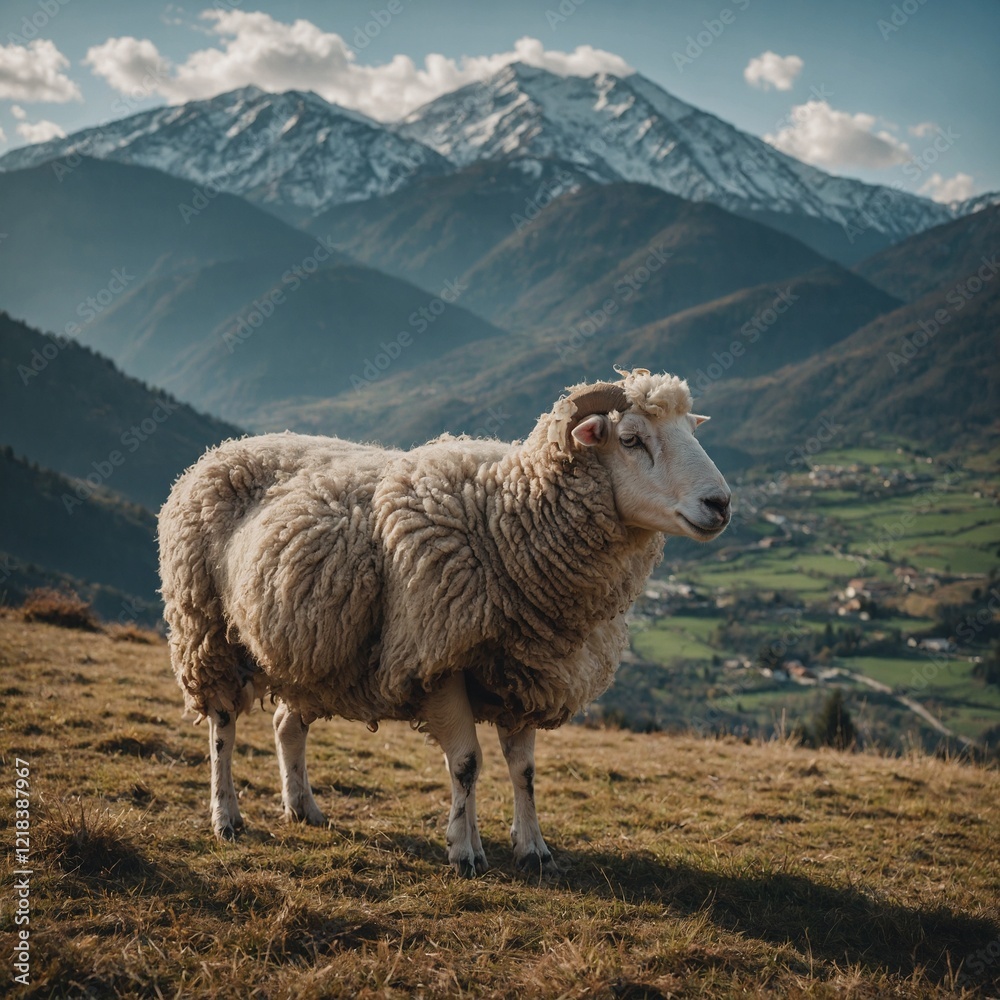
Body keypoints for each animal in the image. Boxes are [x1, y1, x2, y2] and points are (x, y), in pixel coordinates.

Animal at [158, 369, 731, 876]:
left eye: (691, 430)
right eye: (631, 439)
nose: (721, 503)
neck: (505, 518)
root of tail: (222, 450)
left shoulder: (525, 669)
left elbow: (523, 770)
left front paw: (534, 850)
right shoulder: (436, 660)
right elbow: (467, 763)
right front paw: (465, 851)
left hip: (315, 650)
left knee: (286, 725)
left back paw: (304, 808)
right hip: (207, 628)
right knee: (222, 726)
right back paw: (226, 817)